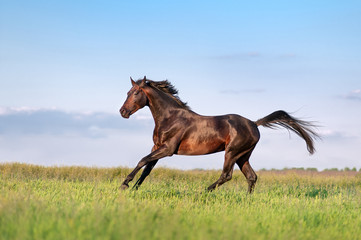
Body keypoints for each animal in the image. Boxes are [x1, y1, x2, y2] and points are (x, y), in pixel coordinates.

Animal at [119, 77, 318, 193]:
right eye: (127, 92)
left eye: (135, 93)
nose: (123, 112)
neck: (171, 117)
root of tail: (254, 123)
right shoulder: (157, 147)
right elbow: (147, 168)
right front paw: (134, 188)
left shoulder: (167, 149)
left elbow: (142, 160)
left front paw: (124, 184)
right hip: (243, 155)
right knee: (251, 176)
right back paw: (247, 200)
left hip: (231, 152)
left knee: (227, 175)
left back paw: (204, 191)